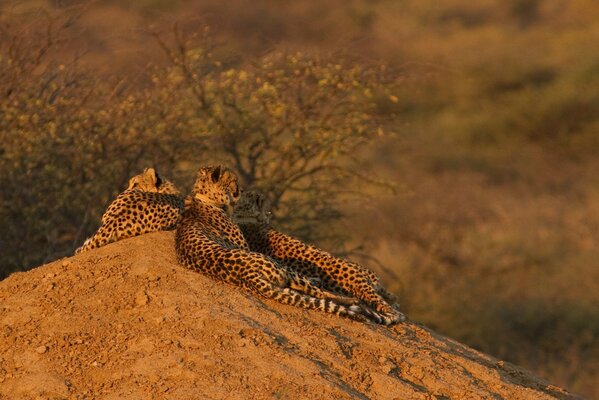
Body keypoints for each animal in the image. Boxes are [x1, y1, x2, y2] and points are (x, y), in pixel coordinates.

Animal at [175, 164, 380, 324]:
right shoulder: (244, 246)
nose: (241, 190)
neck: (205, 198)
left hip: (279, 280)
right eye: (233, 180)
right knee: (319, 292)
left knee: (304, 292)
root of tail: (247, 275)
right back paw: (352, 300)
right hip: (280, 268)